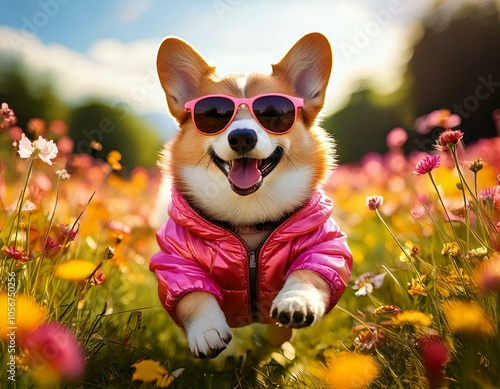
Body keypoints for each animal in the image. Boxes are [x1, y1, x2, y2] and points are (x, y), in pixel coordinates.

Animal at [150, 33, 354, 358]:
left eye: (273, 113)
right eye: (213, 114)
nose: (242, 137)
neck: (249, 215)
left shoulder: (325, 246)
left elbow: (309, 274)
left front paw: (293, 306)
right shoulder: (176, 261)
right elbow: (192, 294)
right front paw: (207, 332)